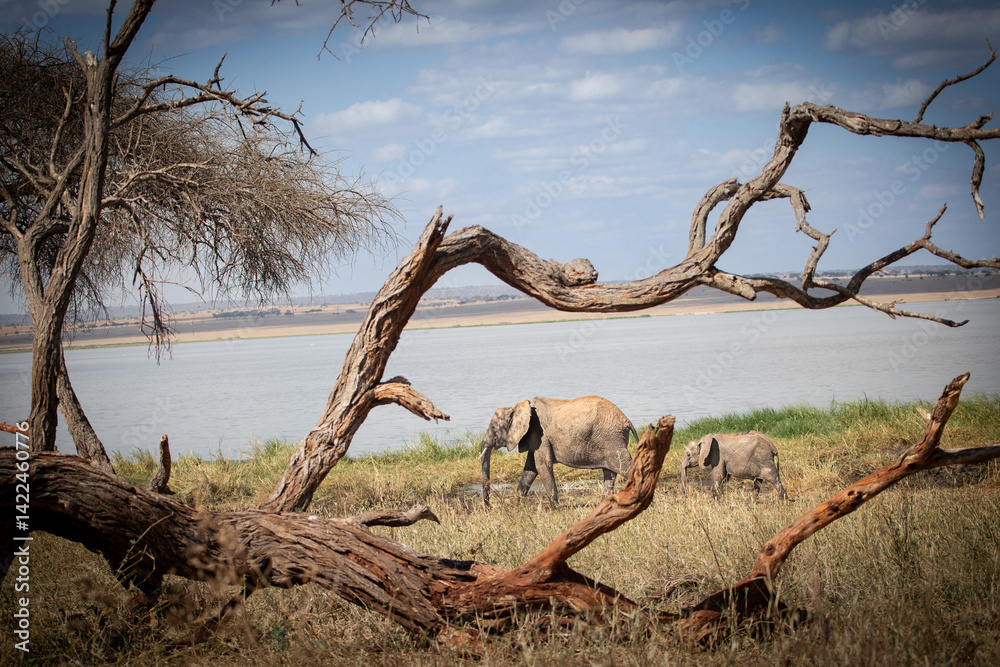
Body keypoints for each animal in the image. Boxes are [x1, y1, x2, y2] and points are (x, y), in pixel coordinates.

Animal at [480, 395, 636, 506]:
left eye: (493, 427)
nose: (489, 507)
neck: (516, 407)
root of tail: (627, 420)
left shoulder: (540, 434)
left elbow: (542, 465)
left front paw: (555, 508)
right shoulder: (535, 438)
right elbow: (530, 469)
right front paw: (518, 505)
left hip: (612, 440)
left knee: (624, 467)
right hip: (610, 442)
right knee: (610, 473)